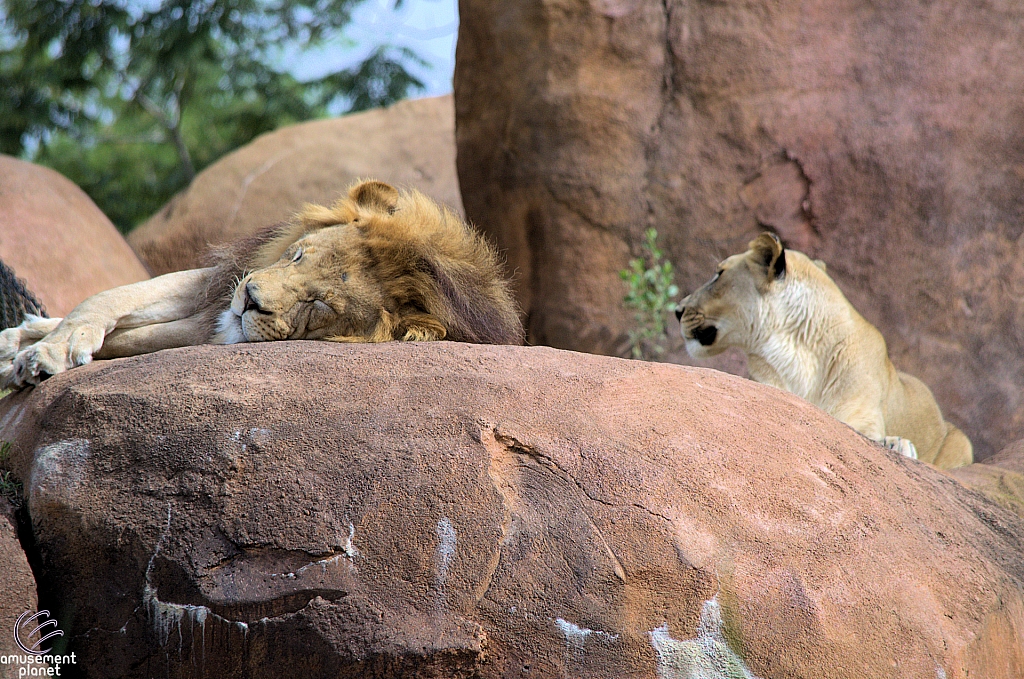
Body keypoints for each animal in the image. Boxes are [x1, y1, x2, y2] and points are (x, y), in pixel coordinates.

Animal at [0, 178, 524, 387]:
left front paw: (31, 360)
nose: (250, 301)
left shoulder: (214, 326)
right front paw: (46, 349)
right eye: (298, 255)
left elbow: (128, 338)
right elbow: (105, 298)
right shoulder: (220, 285)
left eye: (319, 305)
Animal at [675, 231, 970, 471]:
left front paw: (896, 444)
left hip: (961, 441)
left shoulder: (863, 412)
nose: (677, 310)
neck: (796, 350)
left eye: (719, 274)